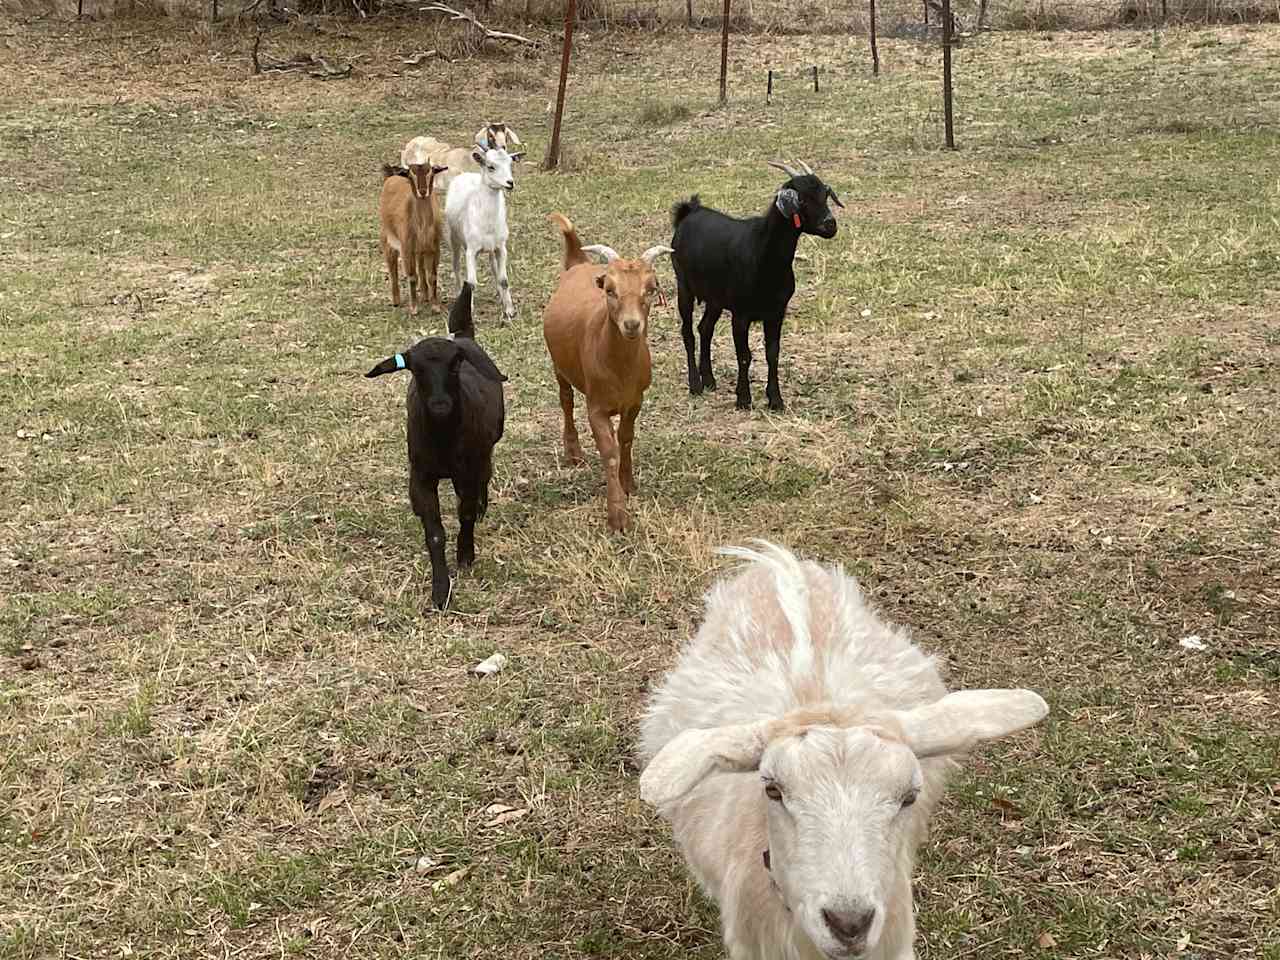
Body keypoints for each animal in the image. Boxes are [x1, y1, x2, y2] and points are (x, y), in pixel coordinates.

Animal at [366, 320, 504, 611]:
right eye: (415, 369)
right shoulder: (421, 476)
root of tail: (463, 335)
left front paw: (465, 554)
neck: (443, 437)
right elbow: (435, 533)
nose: (440, 405)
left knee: (485, 477)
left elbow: (466, 514)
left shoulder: (467, 472)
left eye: (455, 364)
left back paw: (482, 507)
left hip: (487, 447)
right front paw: (440, 590)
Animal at [376, 162, 448, 316]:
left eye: (431, 172)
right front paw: (414, 308)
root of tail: (391, 176)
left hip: (419, 249)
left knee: (420, 267)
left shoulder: (434, 247)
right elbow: (412, 276)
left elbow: (432, 276)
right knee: (392, 266)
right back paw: (396, 301)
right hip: (387, 237)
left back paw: (425, 295)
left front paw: (435, 306)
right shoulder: (406, 247)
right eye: (411, 175)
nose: (423, 191)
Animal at [540, 211, 675, 537]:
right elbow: (609, 451)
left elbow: (625, 438)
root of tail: (577, 263)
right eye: (610, 290)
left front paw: (628, 484)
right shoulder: (597, 407)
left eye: (650, 289)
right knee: (566, 400)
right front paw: (617, 518)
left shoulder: (635, 401)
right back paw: (573, 451)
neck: (619, 368)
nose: (631, 324)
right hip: (559, 366)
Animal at [670, 158, 839, 414]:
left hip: (715, 299)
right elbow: (744, 355)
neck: (763, 254)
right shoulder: (741, 314)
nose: (830, 225)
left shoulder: (777, 312)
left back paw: (709, 379)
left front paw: (776, 400)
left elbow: (772, 353)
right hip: (684, 287)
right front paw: (743, 399)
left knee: (705, 328)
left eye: (825, 194)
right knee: (688, 332)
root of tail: (689, 211)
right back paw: (696, 384)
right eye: (802, 199)